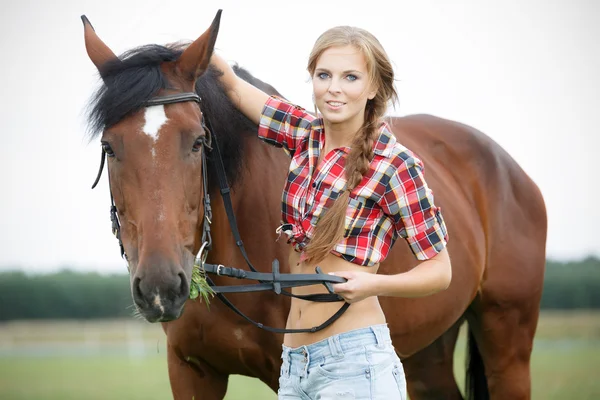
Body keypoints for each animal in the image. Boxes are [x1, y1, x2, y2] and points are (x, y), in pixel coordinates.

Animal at [82, 10, 548, 398]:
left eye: (198, 142)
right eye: (109, 146)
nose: (160, 287)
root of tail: (510, 169)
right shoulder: (192, 371)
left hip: (507, 343)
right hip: (426, 350)